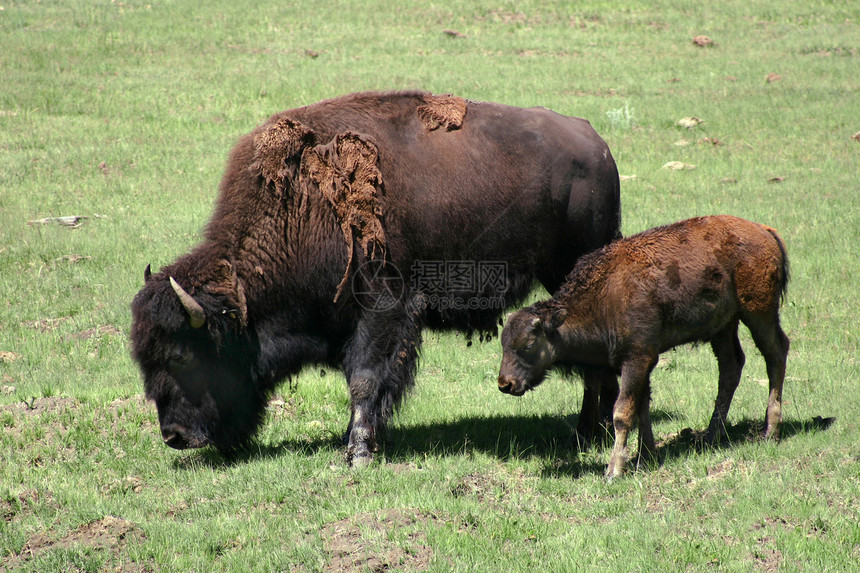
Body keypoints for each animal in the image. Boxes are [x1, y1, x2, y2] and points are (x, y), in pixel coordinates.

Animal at [131, 90, 620, 464]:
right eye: (143, 360)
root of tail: (597, 144)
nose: (173, 436)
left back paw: (588, 433)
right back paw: (594, 429)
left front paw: (360, 453)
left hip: (570, 270)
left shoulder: (383, 310)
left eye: (181, 356)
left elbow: (365, 378)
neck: (300, 211)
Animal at [494, 214, 788, 478]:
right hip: (723, 327)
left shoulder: (637, 359)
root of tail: (765, 231)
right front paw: (646, 455)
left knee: (776, 353)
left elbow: (623, 412)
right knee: (730, 367)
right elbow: (642, 406)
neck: (603, 296)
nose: (505, 383)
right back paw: (711, 435)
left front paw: (614, 470)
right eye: (504, 343)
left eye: (528, 343)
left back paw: (769, 432)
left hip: (758, 311)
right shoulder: (645, 360)